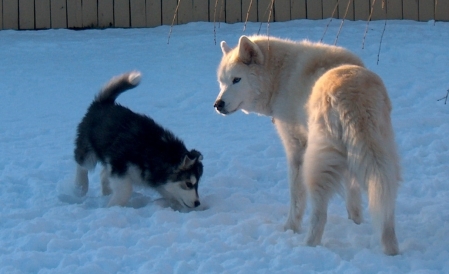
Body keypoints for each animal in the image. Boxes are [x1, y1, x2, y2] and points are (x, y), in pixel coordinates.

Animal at [74, 71, 203, 209]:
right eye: (189, 184)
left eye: (197, 184)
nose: (197, 203)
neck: (156, 151)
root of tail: (103, 103)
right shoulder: (118, 164)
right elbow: (125, 190)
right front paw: (113, 206)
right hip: (88, 150)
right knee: (82, 165)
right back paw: (80, 187)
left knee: (103, 173)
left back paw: (106, 192)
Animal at [215, 35, 400, 256]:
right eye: (222, 82)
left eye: (236, 79)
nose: (217, 105)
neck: (280, 76)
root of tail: (352, 95)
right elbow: (353, 196)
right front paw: (355, 222)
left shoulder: (296, 150)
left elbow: (296, 198)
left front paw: (290, 228)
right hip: (382, 158)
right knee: (385, 204)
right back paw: (391, 248)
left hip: (317, 166)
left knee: (319, 214)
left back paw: (308, 245)